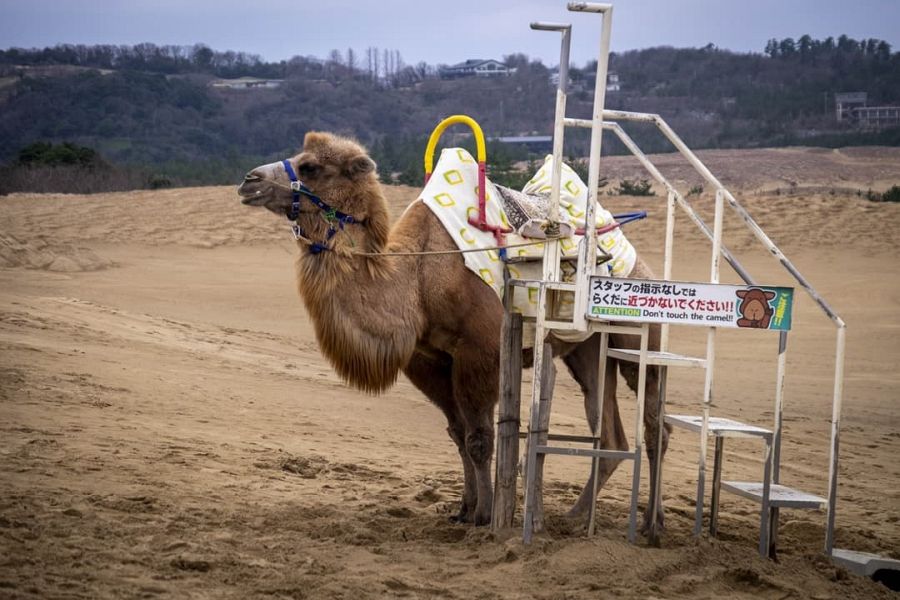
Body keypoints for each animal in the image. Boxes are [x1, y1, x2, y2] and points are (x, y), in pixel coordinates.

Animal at [238, 131, 668, 533]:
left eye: (310, 166)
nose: (248, 180)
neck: (417, 278)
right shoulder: (427, 360)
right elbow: (458, 434)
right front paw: (464, 509)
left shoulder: (480, 352)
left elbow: (480, 438)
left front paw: (486, 515)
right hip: (586, 348)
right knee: (609, 430)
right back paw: (575, 516)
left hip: (638, 330)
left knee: (654, 422)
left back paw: (652, 522)